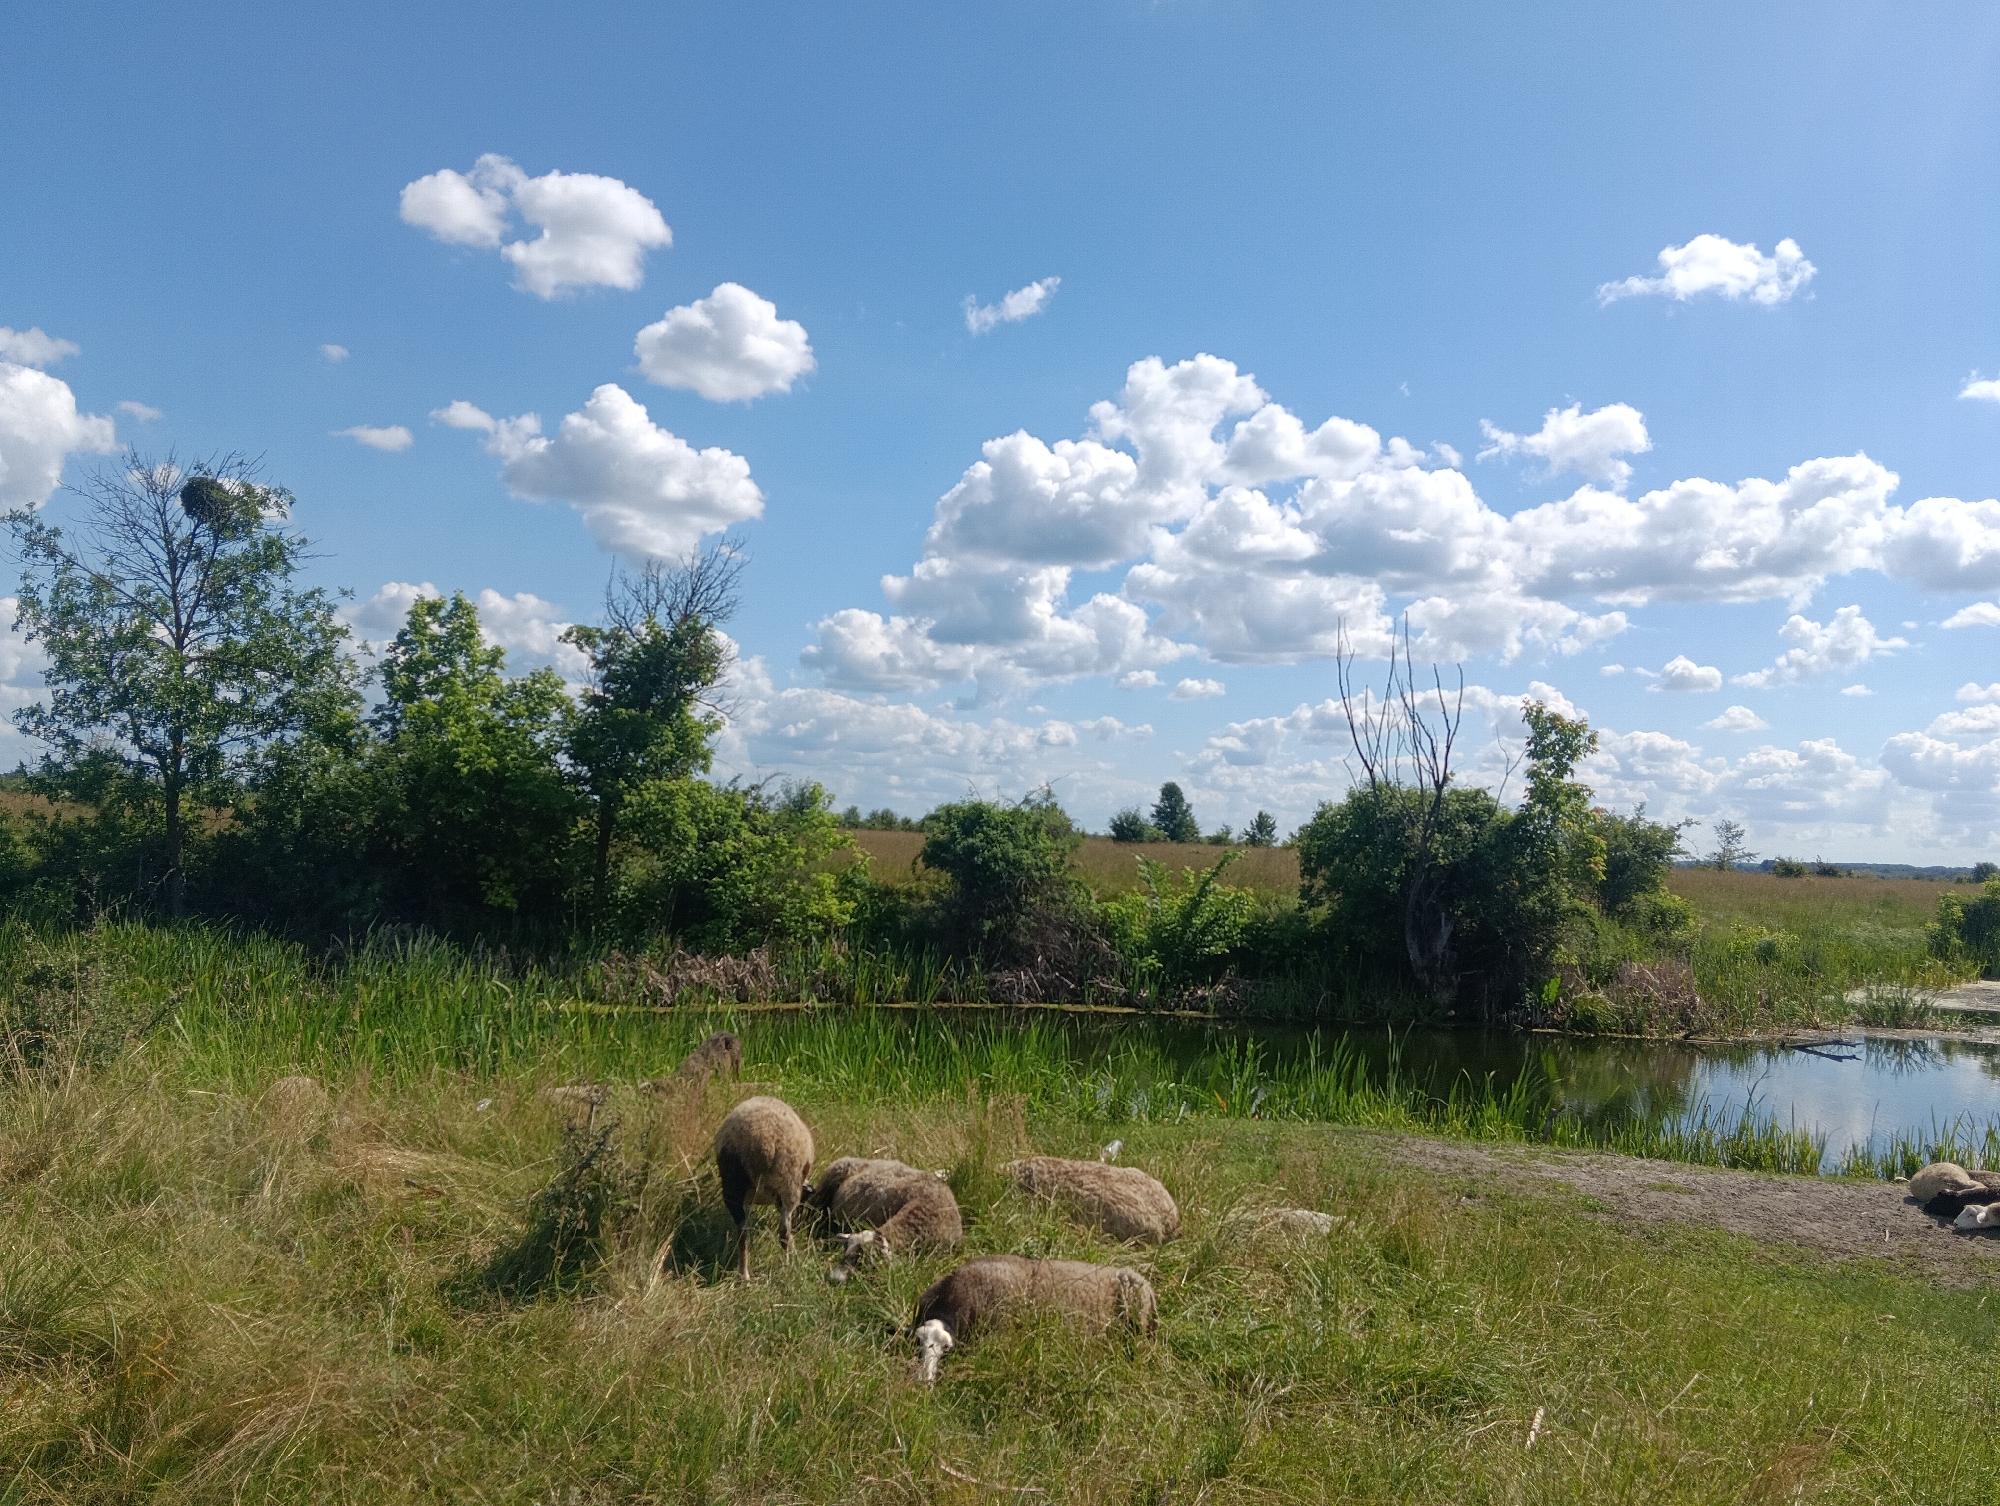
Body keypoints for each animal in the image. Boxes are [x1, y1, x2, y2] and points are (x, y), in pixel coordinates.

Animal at [714, 1095, 815, 1280]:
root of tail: (766, 1141)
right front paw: (796, 1254)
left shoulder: (748, 1200)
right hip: (790, 1184)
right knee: (783, 1231)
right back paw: (787, 1267)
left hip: (733, 1186)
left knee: (743, 1232)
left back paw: (744, 1274)